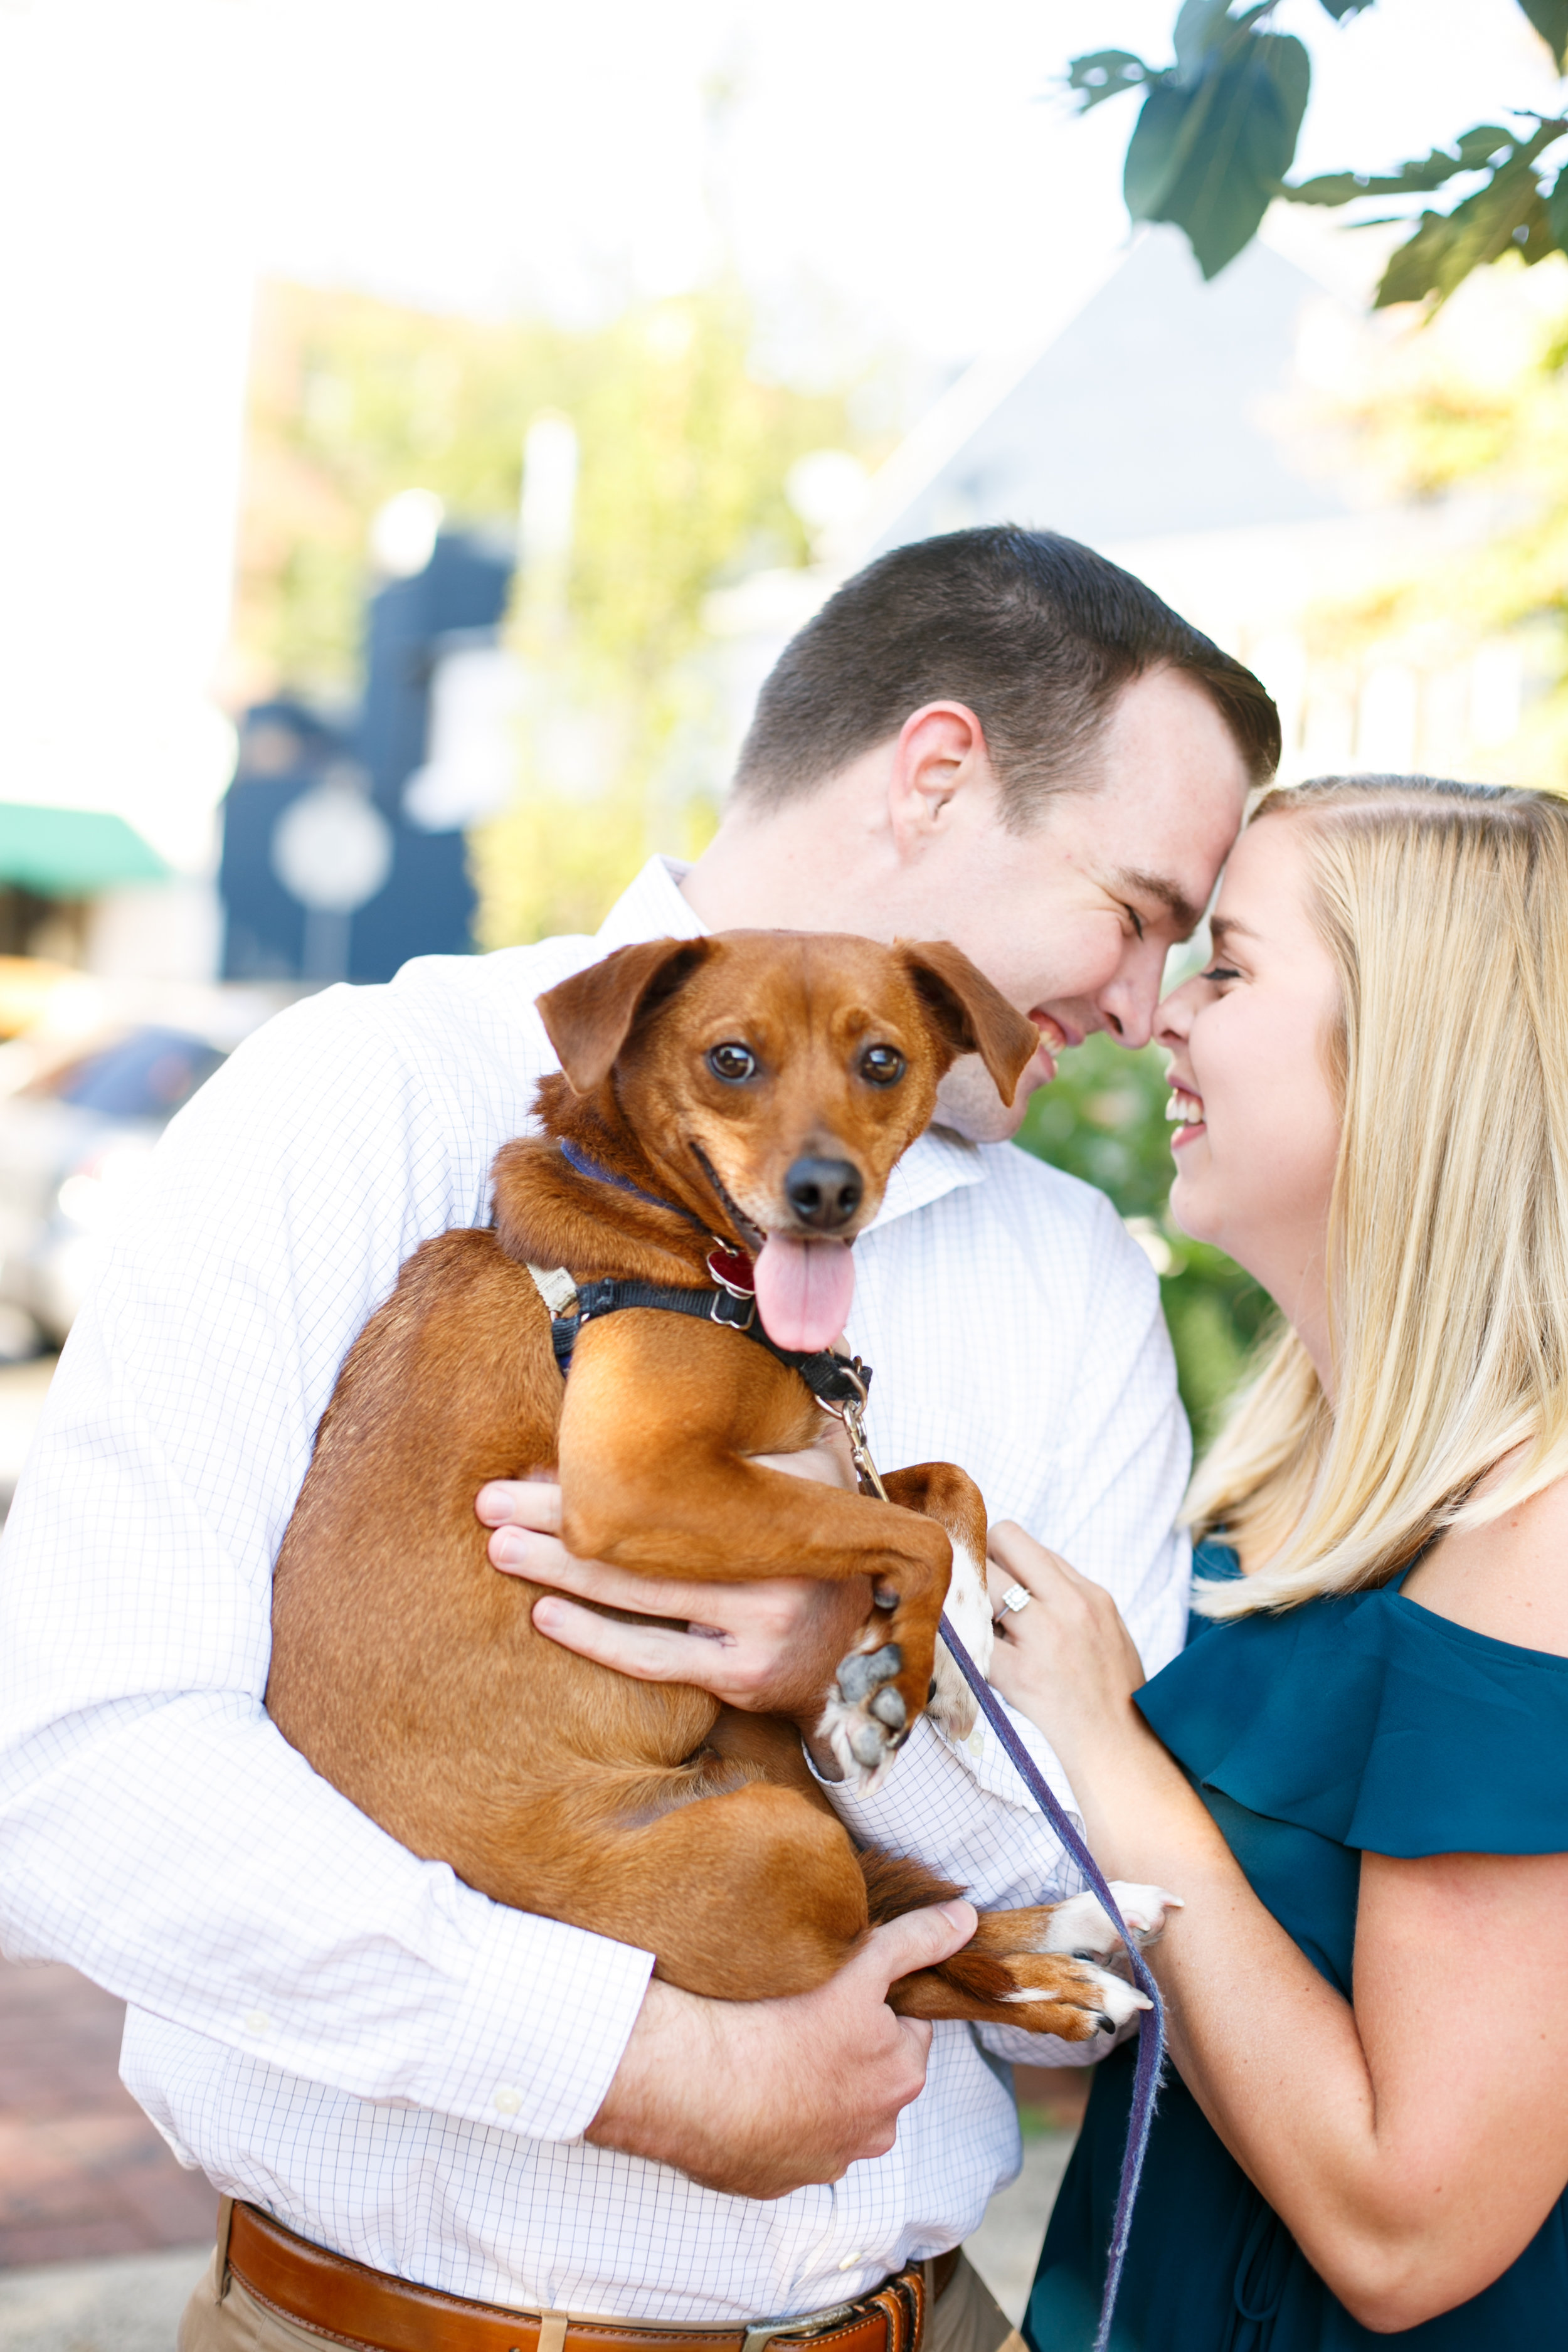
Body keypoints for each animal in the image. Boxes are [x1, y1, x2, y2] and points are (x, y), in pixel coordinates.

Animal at [270, 936, 1152, 2042]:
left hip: (772, 1778)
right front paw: (902, 1676)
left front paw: (965, 1652)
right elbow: (912, 1533)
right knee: (892, 1959)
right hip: (785, 1852)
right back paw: (1061, 1969)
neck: (683, 1252)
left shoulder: (819, 1448)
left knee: (915, 1933)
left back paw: (1077, 1941)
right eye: (731, 1059)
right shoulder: (637, 1479)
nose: (826, 1190)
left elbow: (945, 1485)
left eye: (883, 1060)